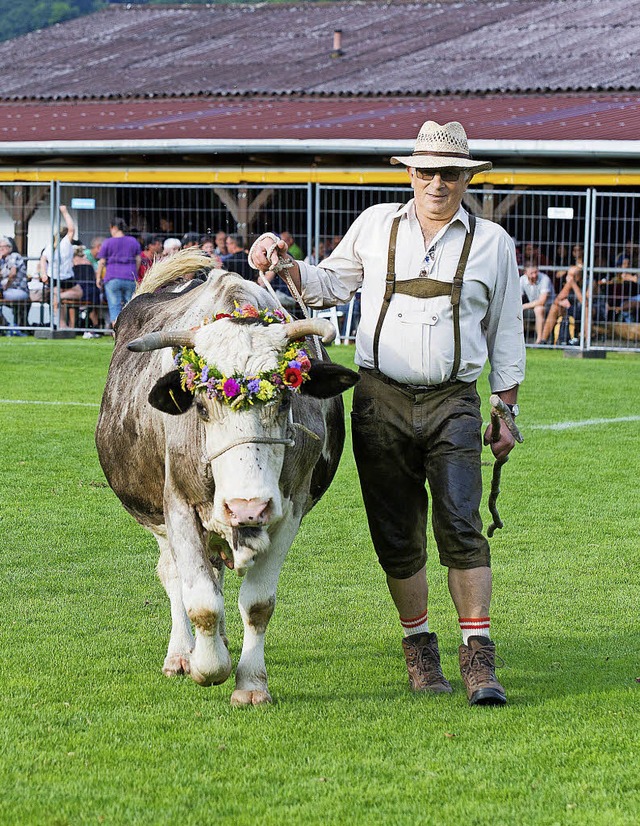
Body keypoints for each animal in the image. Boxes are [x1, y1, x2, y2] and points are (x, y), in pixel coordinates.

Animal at [97, 249, 362, 700]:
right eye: (202, 407)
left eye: (285, 398)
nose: (246, 507)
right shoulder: (178, 505)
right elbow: (200, 601)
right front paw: (207, 667)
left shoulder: (289, 510)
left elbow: (257, 604)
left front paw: (250, 683)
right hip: (157, 516)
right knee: (174, 576)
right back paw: (181, 654)